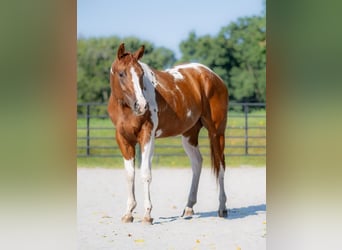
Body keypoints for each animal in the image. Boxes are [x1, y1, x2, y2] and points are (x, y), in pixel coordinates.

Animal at [108, 43, 228, 225]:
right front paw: (128, 213)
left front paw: (147, 215)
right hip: (189, 135)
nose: (141, 105)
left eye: (141, 73)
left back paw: (222, 207)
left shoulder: (147, 136)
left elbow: (145, 173)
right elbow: (129, 175)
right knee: (197, 163)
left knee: (220, 165)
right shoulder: (123, 139)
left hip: (216, 133)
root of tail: (212, 76)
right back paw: (189, 207)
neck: (126, 108)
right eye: (121, 73)